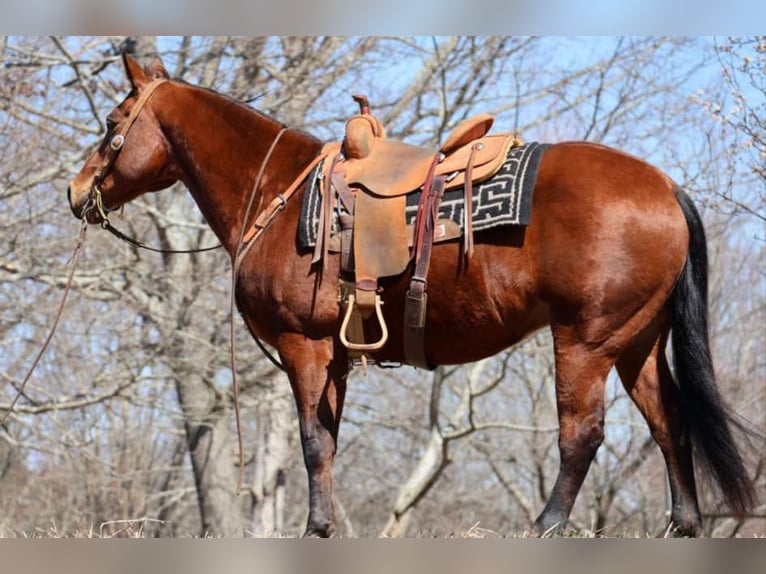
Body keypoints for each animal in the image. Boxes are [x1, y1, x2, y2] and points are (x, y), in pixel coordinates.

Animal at [67, 53, 755, 537]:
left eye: (111, 124)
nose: (76, 192)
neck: (279, 196)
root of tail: (665, 187)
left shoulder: (304, 346)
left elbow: (311, 442)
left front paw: (315, 530)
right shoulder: (335, 356)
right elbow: (328, 440)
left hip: (586, 341)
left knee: (581, 435)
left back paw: (545, 527)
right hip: (637, 343)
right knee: (670, 424)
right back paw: (682, 526)